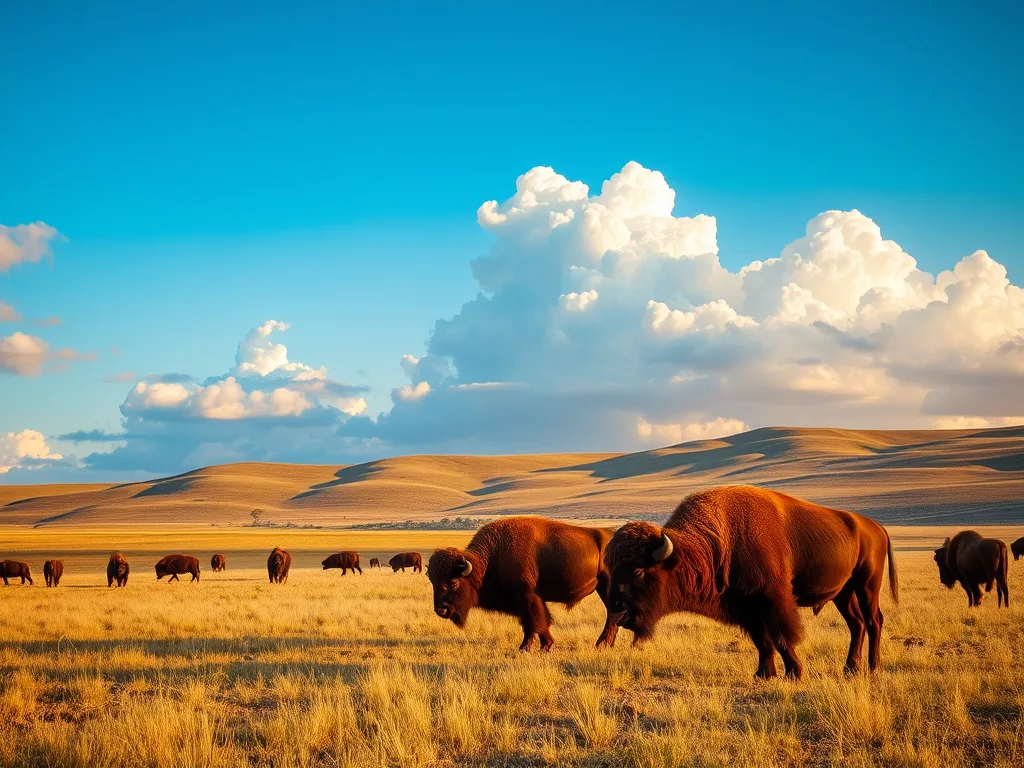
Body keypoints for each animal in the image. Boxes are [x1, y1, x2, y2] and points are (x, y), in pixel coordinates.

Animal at [427, 517, 618, 651]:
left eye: (453, 581)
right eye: (432, 581)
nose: (440, 610)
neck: (491, 558)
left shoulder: (528, 596)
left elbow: (533, 622)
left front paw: (529, 647)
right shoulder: (529, 601)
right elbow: (536, 622)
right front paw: (543, 645)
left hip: (607, 587)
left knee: (612, 615)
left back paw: (601, 644)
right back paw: (605, 644)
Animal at [605, 486, 898, 679]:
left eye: (638, 572)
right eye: (612, 568)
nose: (617, 611)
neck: (718, 542)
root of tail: (876, 527)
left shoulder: (774, 599)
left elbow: (782, 637)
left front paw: (794, 673)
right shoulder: (746, 607)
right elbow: (763, 641)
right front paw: (763, 673)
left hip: (867, 585)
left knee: (874, 621)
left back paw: (873, 667)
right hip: (843, 593)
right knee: (856, 624)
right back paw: (851, 669)